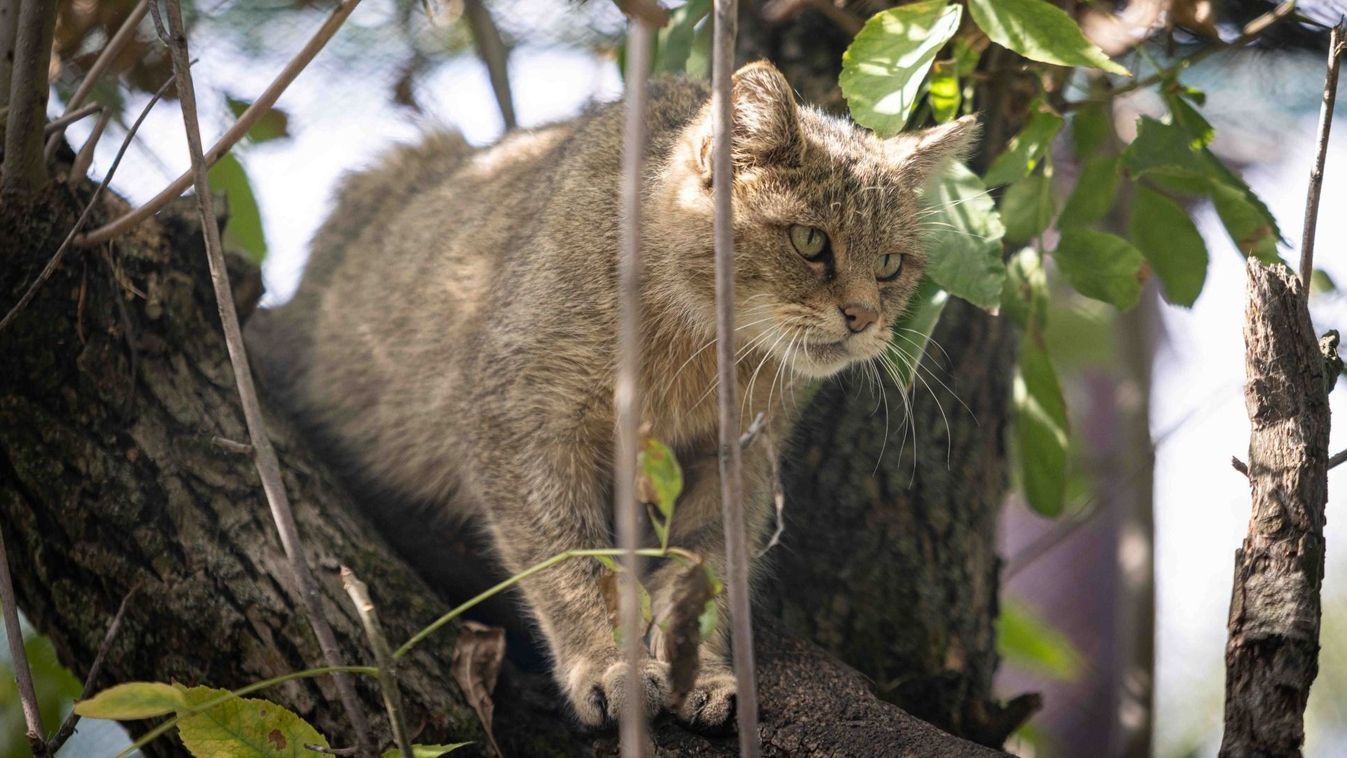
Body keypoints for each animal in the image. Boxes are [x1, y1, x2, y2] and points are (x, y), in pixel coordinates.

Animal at [247, 63, 975, 727]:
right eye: (810, 240)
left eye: (890, 264)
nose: (863, 316)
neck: (696, 352)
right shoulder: (520, 422)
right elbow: (570, 567)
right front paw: (608, 663)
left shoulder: (736, 460)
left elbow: (703, 572)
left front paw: (700, 671)